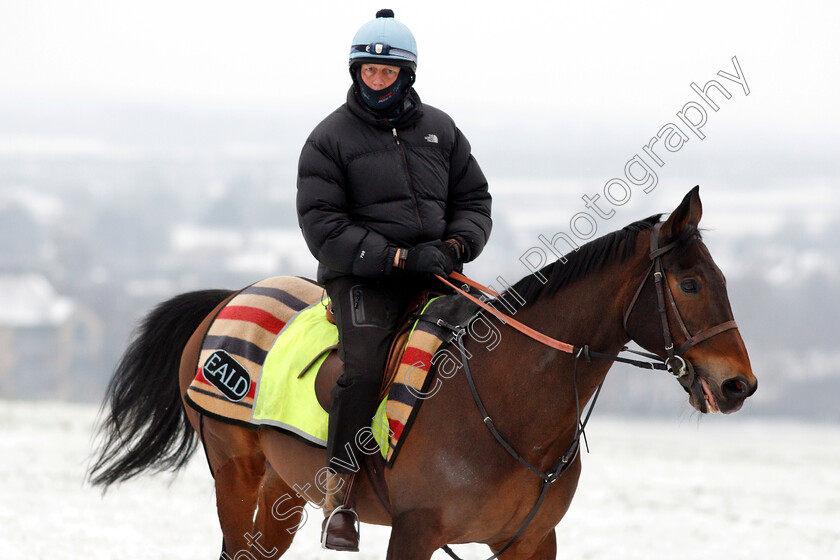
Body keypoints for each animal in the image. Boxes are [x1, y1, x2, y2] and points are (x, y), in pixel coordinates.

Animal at [90, 188, 756, 560]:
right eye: (690, 284)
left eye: (722, 280)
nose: (738, 385)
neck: (506, 404)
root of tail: (228, 300)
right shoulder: (413, 535)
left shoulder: (531, 542)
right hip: (236, 471)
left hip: (284, 487)